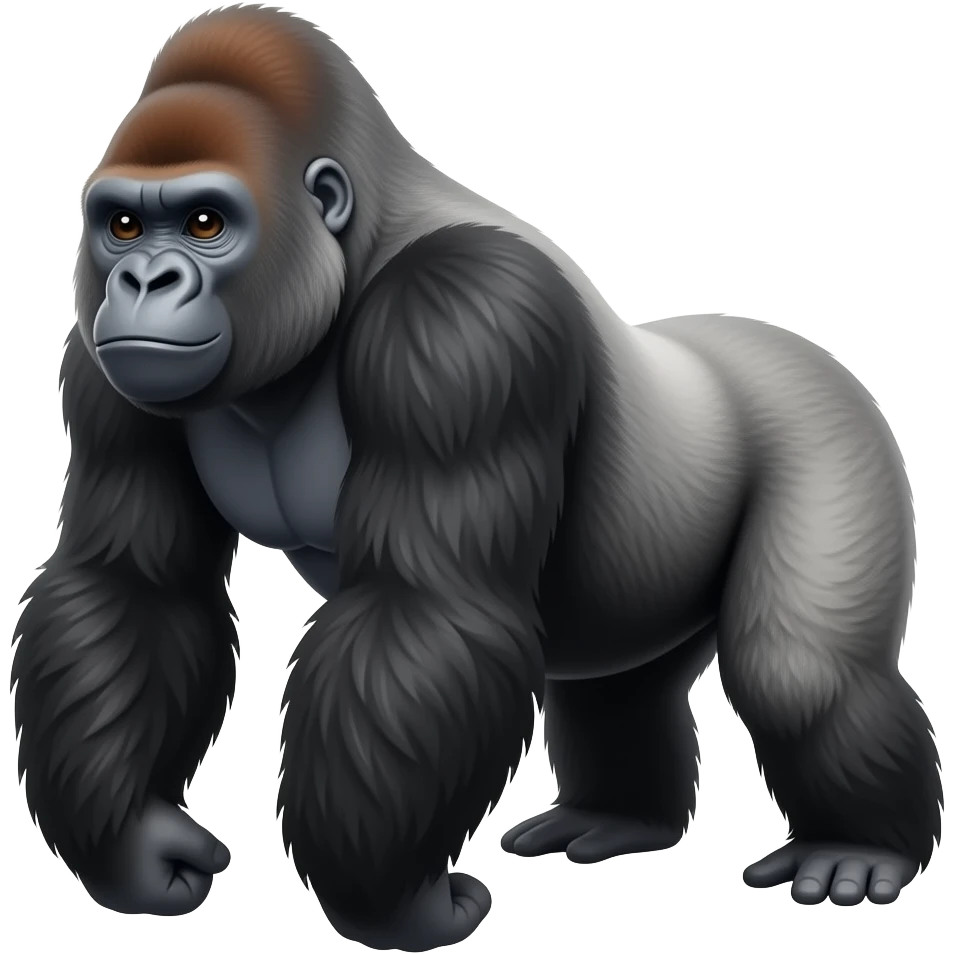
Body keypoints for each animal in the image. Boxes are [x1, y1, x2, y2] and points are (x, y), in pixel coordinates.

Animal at [12, 2, 938, 947]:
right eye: (122, 226)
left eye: (205, 223)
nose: (142, 280)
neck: (351, 249)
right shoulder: (100, 364)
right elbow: (133, 585)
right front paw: (135, 845)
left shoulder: (462, 319)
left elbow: (425, 607)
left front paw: (391, 904)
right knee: (619, 688)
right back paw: (620, 816)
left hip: (832, 426)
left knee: (799, 673)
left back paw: (862, 848)